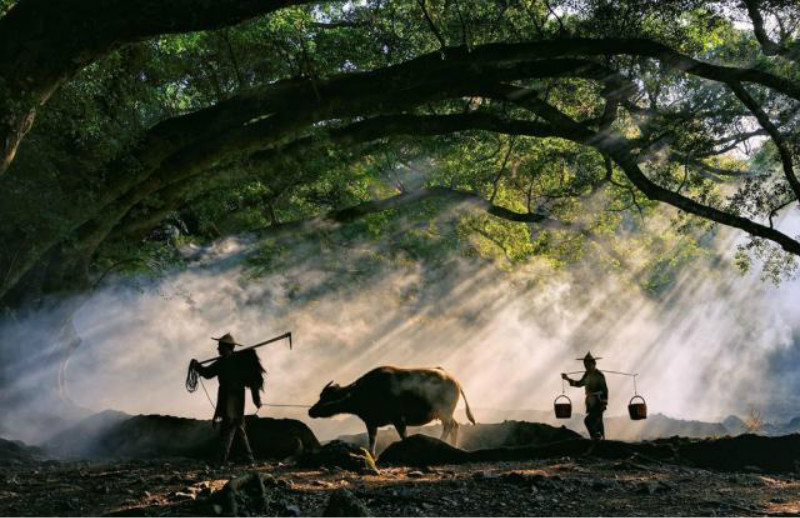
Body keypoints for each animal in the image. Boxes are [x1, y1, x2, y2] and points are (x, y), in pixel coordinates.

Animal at [308, 368, 476, 458]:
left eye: (327, 397)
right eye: (321, 395)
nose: (311, 411)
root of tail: (455, 381)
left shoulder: (398, 419)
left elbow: (404, 437)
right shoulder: (371, 422)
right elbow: (372, 441)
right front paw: (372, 456)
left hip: (444, 412)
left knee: (449, 425)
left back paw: (442, 442)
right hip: (444, 413)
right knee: (455, 425)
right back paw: (453, 445)